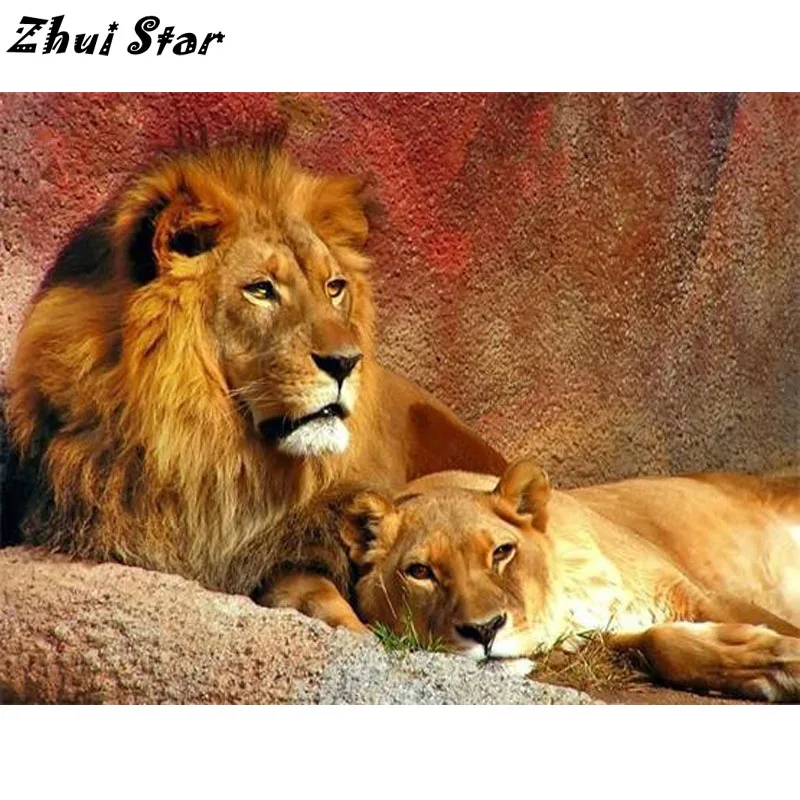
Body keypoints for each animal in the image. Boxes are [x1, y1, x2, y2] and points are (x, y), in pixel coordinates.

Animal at [340, 460, 800, 701]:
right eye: (420, 572)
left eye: (501, 552)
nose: (484, 630)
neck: (571, 595)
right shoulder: (606, 635)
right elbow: (660, 645)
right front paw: (772, 663)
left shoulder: (694, 592)